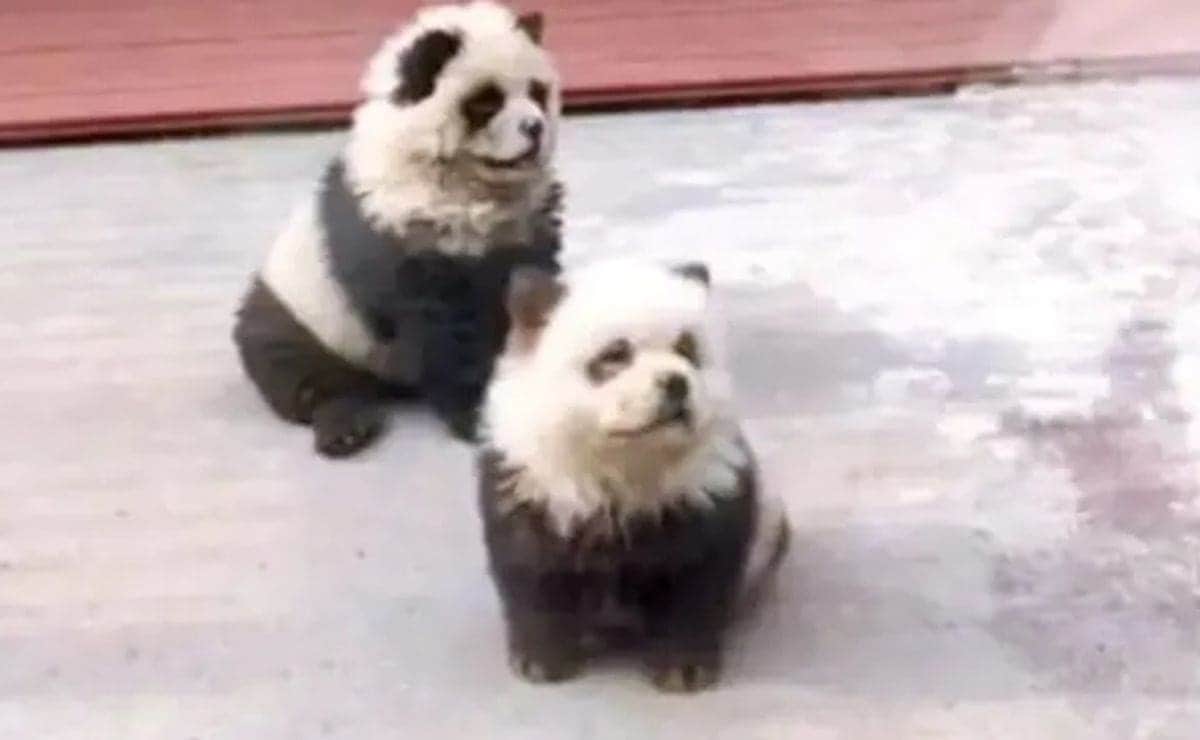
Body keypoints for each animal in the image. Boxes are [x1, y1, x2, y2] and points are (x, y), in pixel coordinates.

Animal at [233, 1, 563, 457]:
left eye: (537, 93)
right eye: (487, 102)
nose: (534, 128)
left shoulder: (528, 228)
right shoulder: (404, 228)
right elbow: (446, 333)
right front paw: (476, 413)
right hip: (301, 311)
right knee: (295, 370)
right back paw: (345, 425)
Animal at [476, 260, 790, 692]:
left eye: (687, 349)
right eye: (615, 354)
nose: (676, 383)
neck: (627, 463)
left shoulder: (706, 496)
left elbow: (695, 583)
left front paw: (682, 668)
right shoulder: (532, 487)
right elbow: (533, 575)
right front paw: (541, 660)